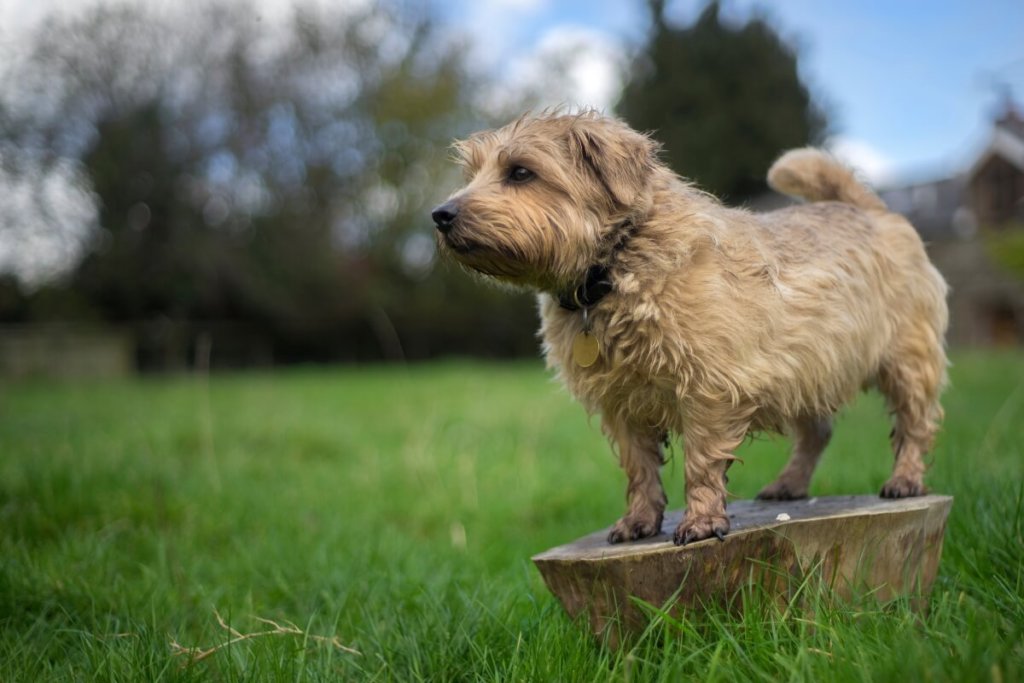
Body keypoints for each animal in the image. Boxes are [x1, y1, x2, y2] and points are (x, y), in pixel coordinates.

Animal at [428, 112, 946, 544]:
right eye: (471, 174)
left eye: (520, 172)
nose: (440, 214)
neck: (613, 268)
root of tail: (869, 208)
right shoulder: (620, 402)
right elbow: (639, 468)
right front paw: (638, 521)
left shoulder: (708, 387)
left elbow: (700, 461)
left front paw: (701, 521)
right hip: (806, 368)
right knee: (817, 431)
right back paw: (788, 484)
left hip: (906, 358)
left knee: (915, 422)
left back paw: (905, 479)